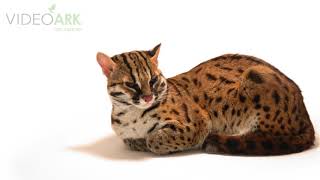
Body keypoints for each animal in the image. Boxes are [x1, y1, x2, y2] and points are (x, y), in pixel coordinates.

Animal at [95, 44, 316, 155]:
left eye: (153, 80)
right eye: (131, 84)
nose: (149, 97)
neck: (131, 114)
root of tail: (307, 118)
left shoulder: (199, 122)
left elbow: (155, 141)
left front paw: (151, 141)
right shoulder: (126, 135)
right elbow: (132, 141)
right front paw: (140, 142)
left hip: (256, 76)